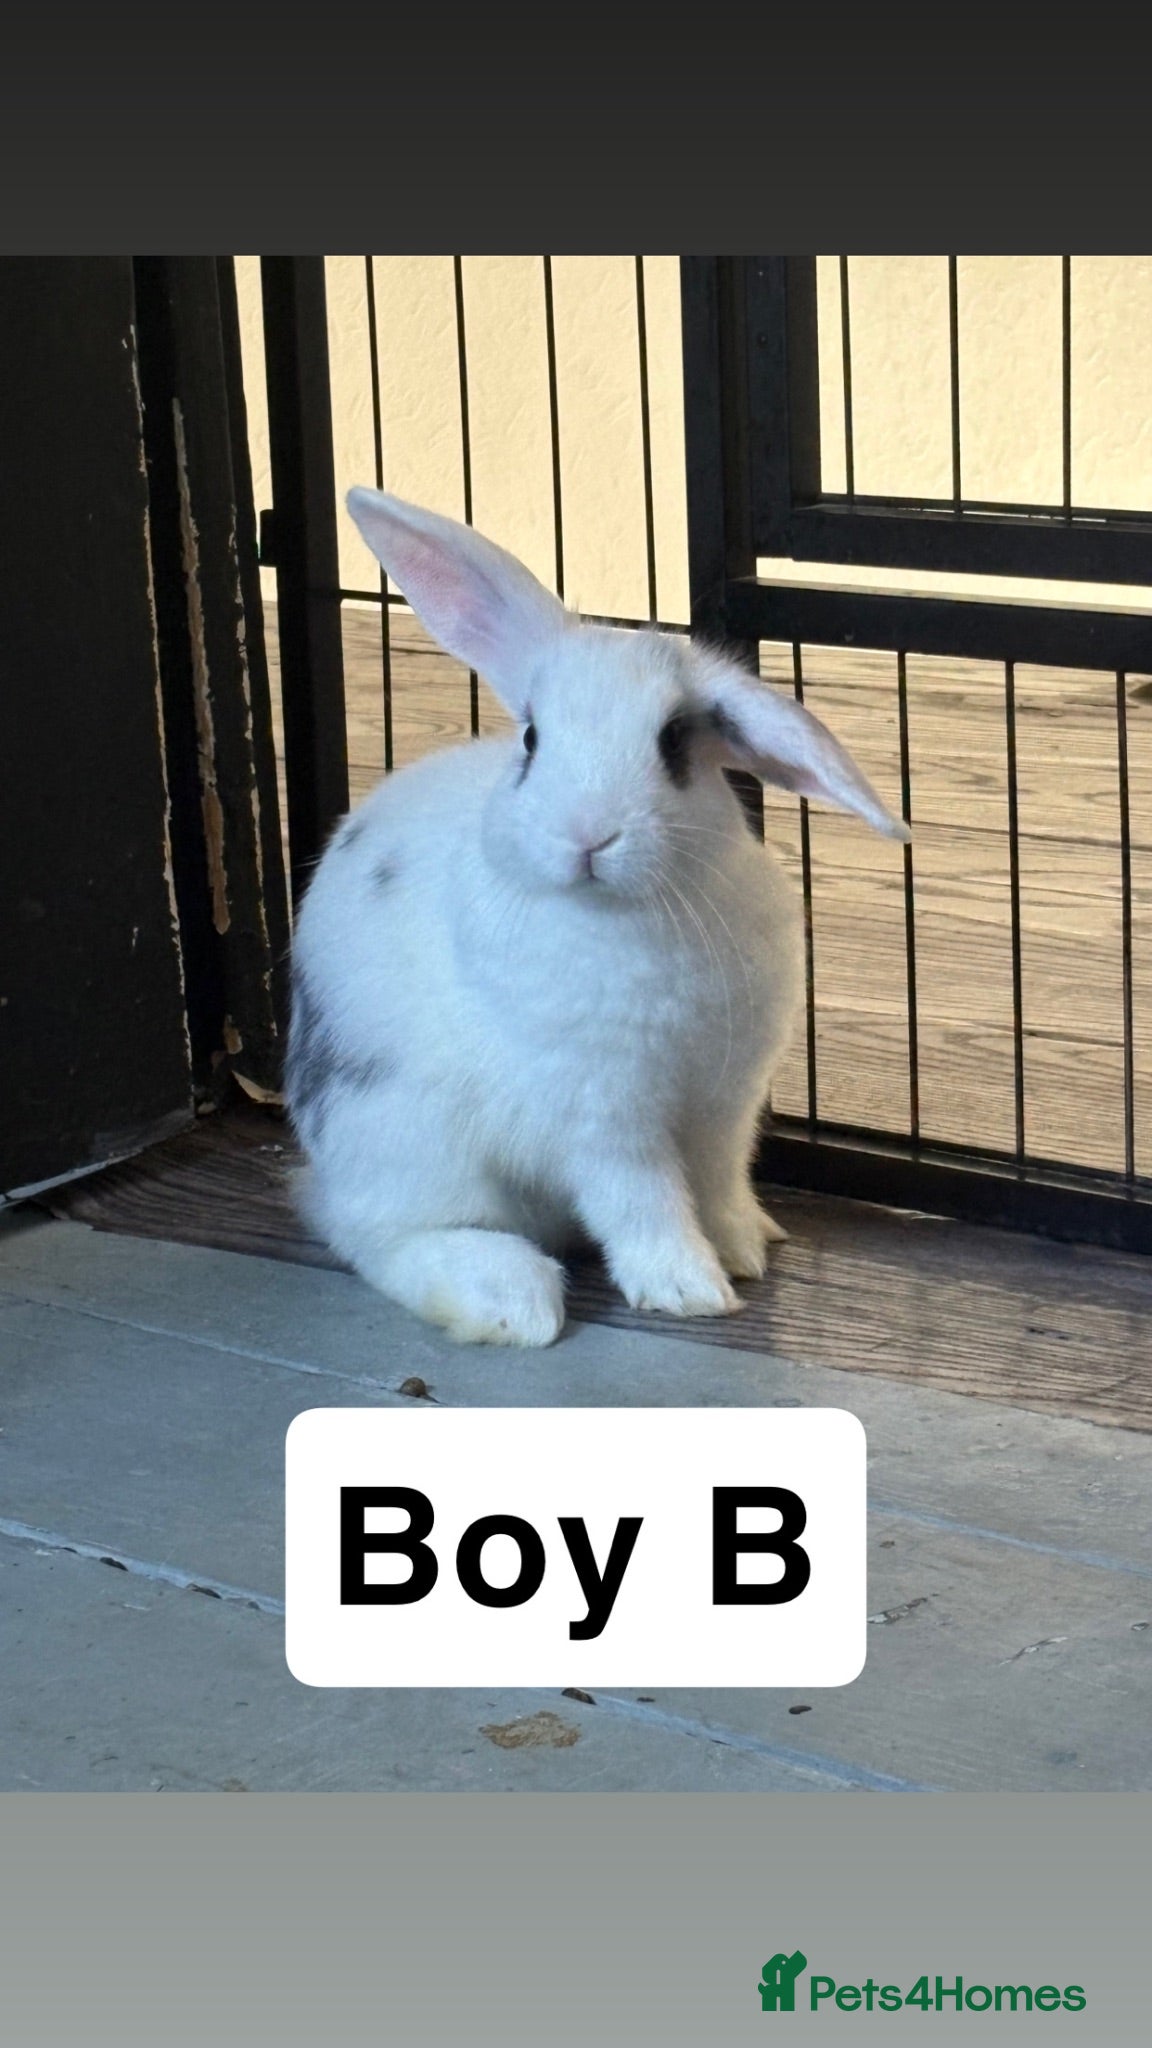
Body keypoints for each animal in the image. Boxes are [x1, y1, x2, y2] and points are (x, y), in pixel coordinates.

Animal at [285, 487, 909, 1348]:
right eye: (531, 739)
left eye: (674, 741)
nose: (589, 834)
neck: (624, 915)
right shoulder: (603, 1113)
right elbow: (641, 1202)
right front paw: (689, 1289)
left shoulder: (723, 1104)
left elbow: (718, 1184)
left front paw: (744, 1249)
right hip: (408, 1141)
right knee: (376, 1236)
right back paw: (510, 1297)